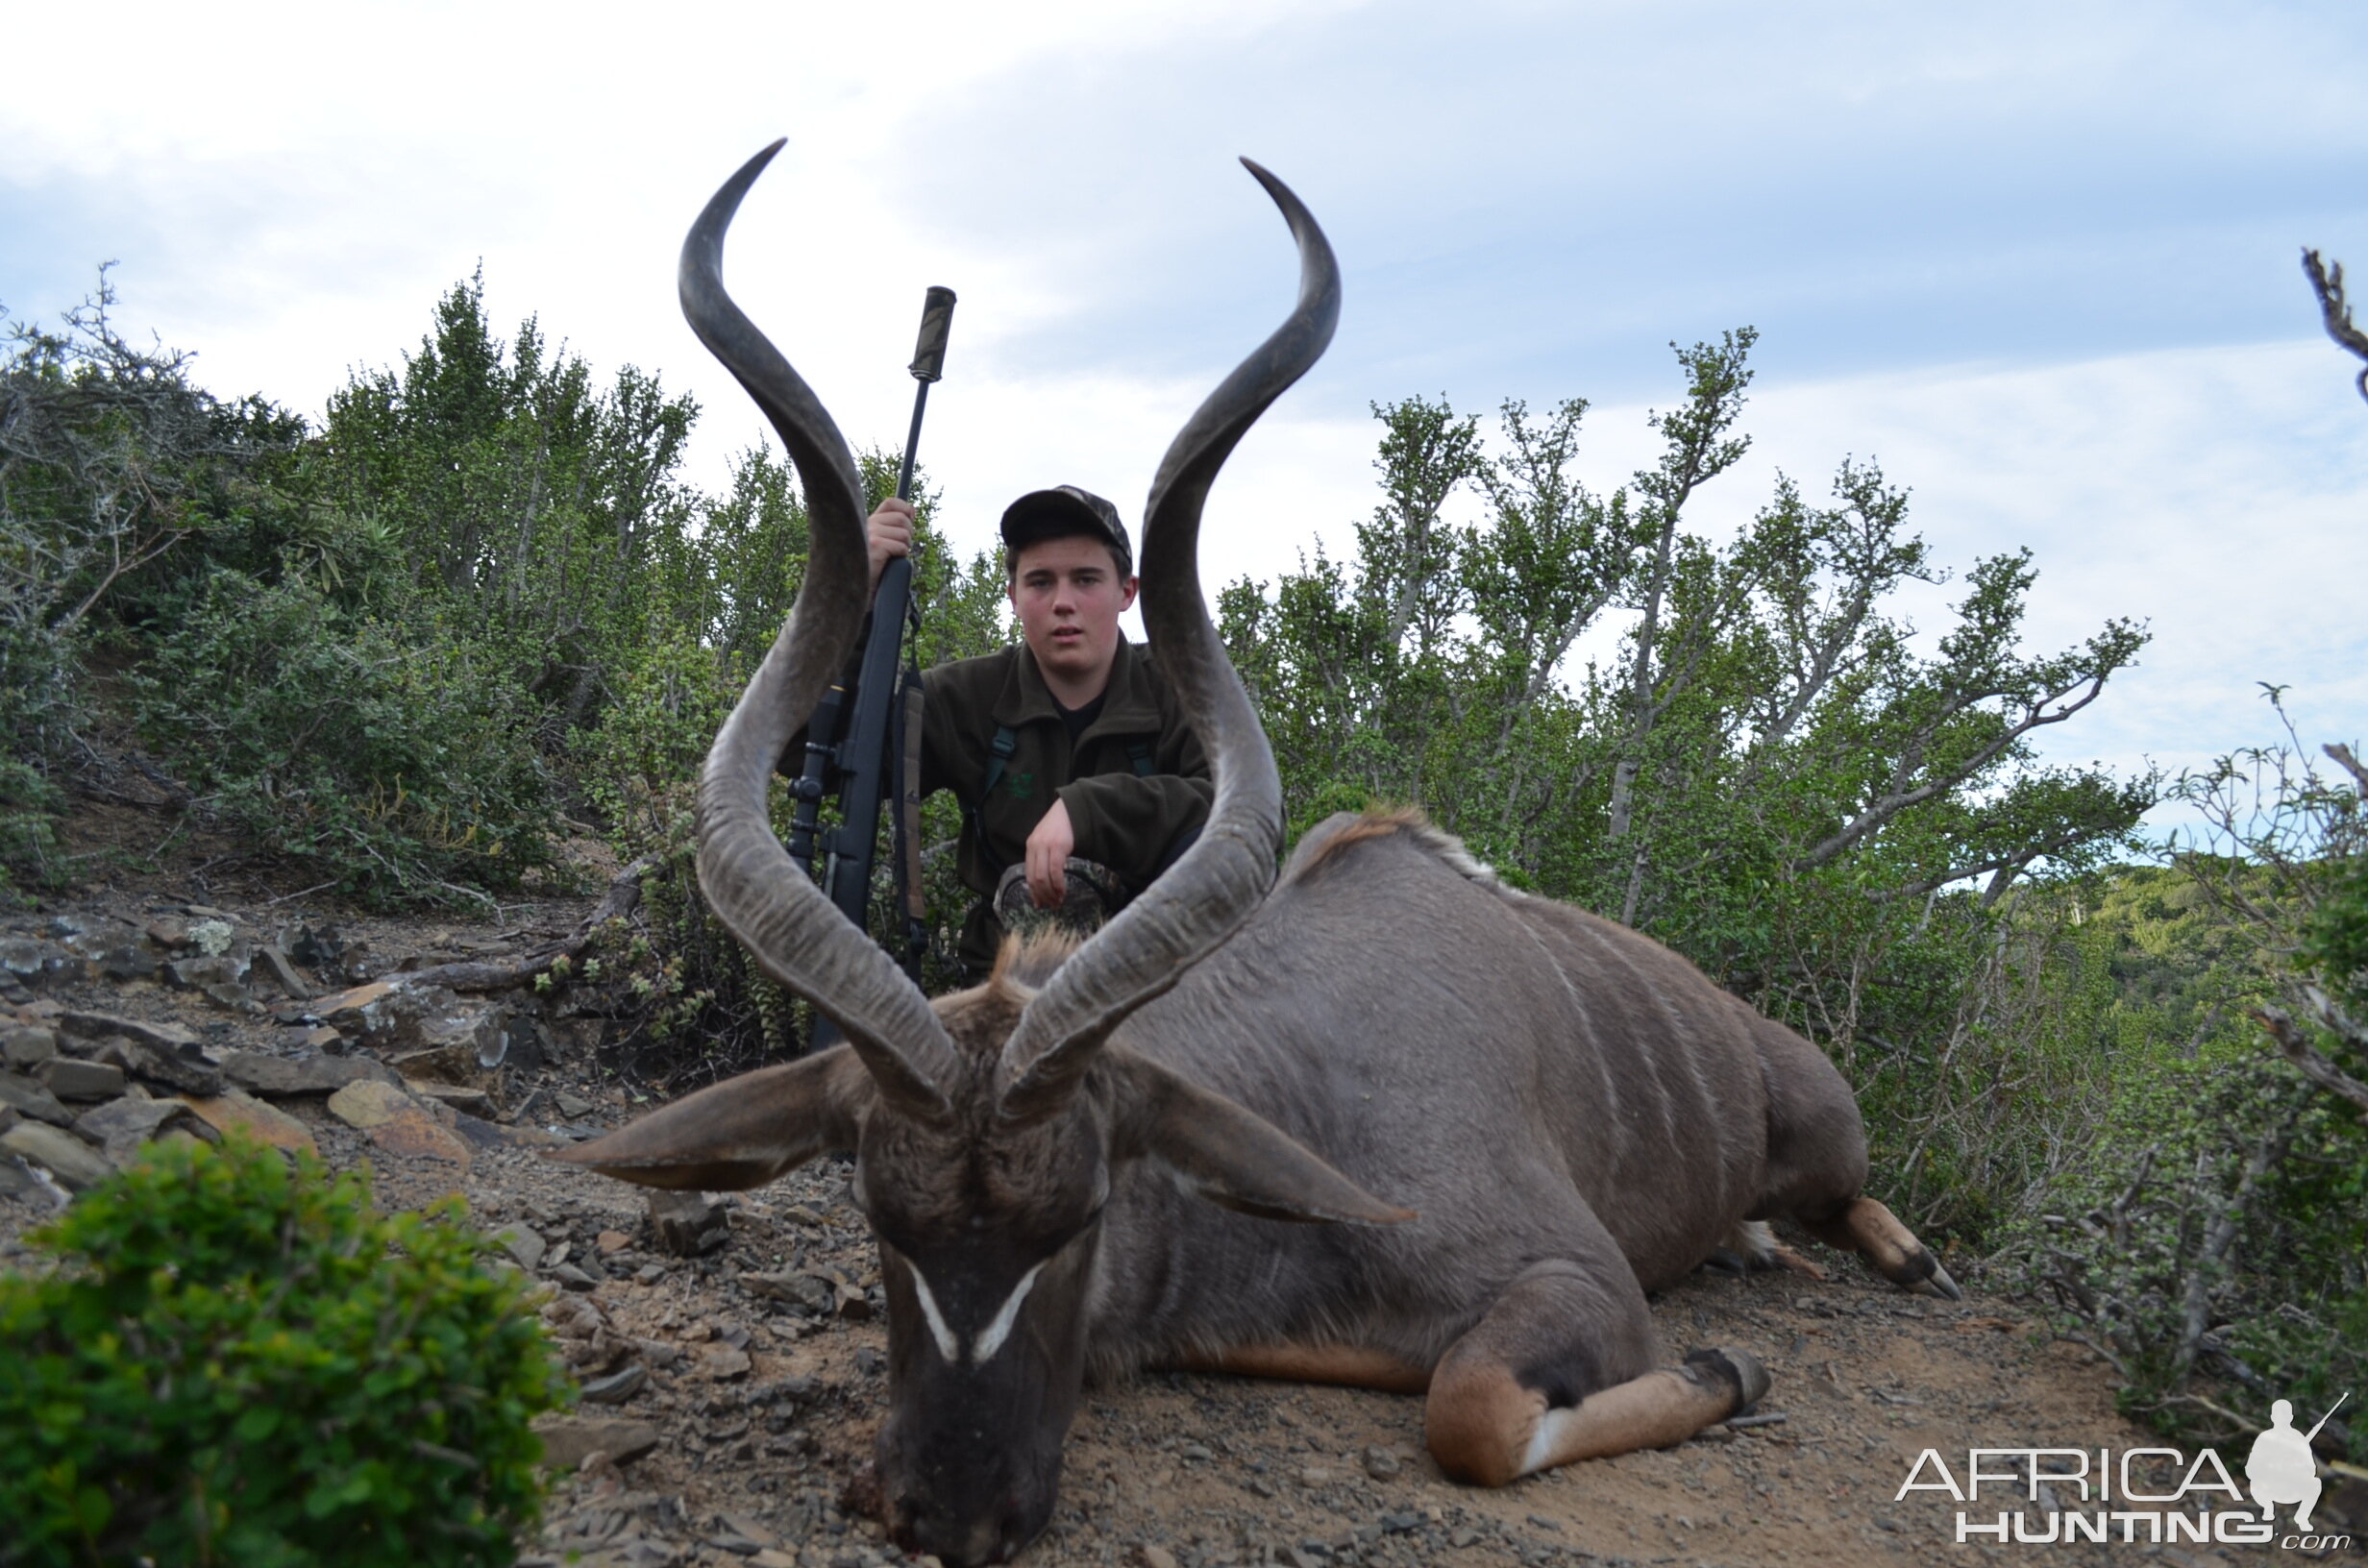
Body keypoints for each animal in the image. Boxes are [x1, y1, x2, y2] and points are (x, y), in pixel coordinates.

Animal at [558, 141, 1961, 1563]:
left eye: (1080, 1219)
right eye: (875, 1217)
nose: (952, 1512)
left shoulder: (1583, 1282)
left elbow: (1473, 1416)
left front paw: (1731, 1370)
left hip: (1822, 1138)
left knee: (1851, 1209)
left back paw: (1891, 1257)